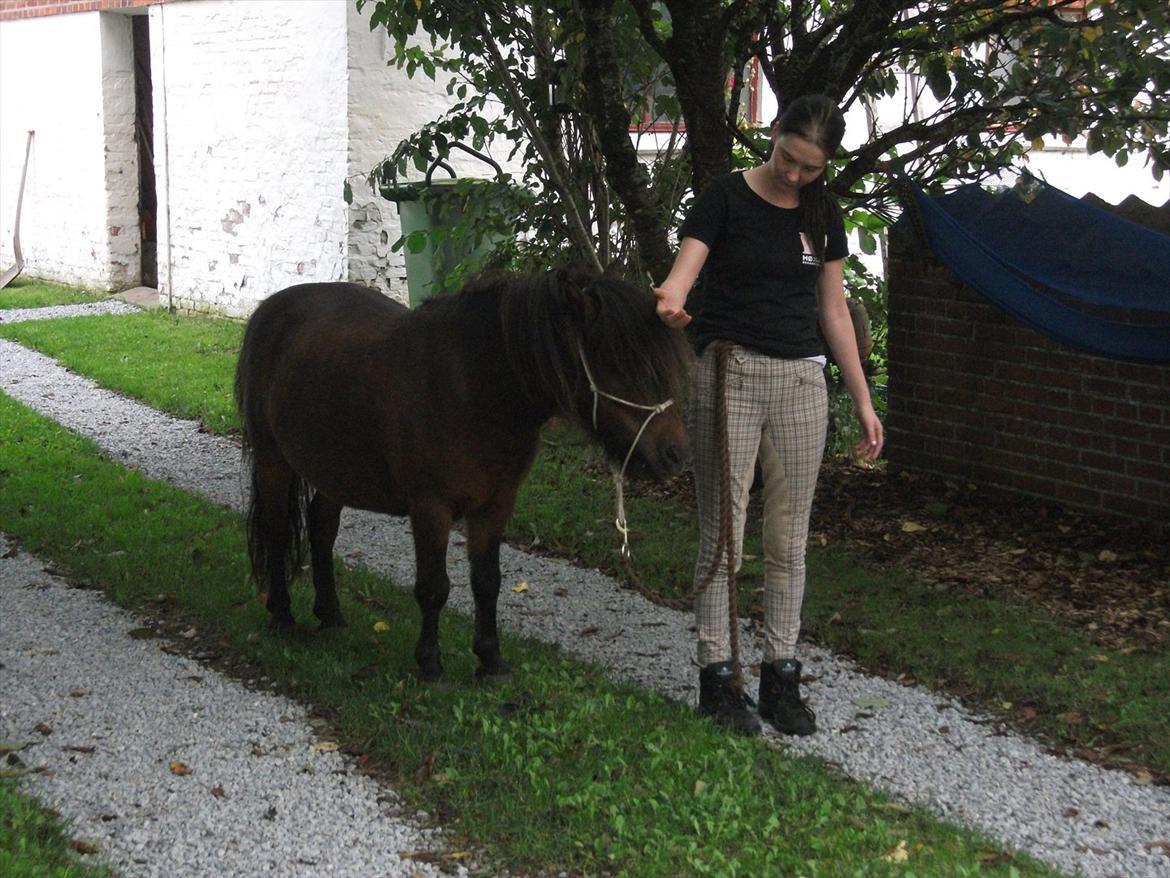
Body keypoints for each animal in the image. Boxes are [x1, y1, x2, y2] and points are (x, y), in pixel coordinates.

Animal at [232, 271, 687, 683]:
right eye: (620, 364)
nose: (674, 454)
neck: (474, 388)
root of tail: (270, 309)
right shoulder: (431, 508)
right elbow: (434, 587)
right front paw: (430, 665)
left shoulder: (496, 505)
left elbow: (487, 582)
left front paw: (491, 661)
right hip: (273, 461)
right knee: (277, 532)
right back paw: (282, 618)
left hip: (337, 470)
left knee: (322, 529)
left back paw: (332, 618)